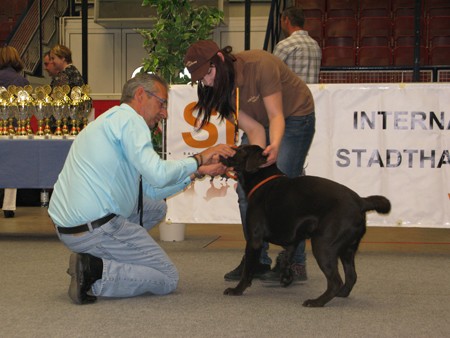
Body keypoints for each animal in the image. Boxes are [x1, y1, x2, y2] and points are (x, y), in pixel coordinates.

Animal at [220, 144, 392, 308]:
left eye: (241, 150)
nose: (222, 154)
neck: (262, 180)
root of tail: (361, 201)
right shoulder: (293, 240)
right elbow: (286, 258)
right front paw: (286, 277)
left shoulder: (254, 240)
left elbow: (248, 269)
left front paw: (237, 290)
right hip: (348, 249)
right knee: (351, 276)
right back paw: (341, 294)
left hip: (323, 245)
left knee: (336, 281)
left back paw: (317, 302)